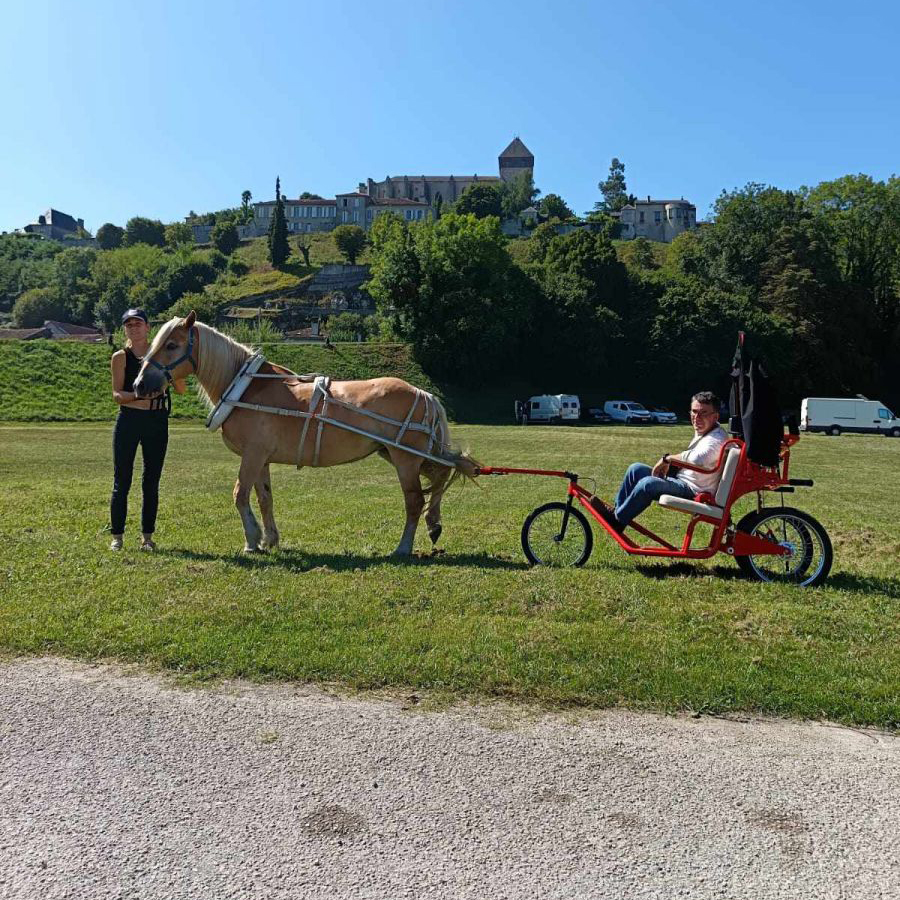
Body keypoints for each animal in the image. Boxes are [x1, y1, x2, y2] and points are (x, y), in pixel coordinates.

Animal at [133, 314, 478, 556]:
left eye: (172, 345)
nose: (139, 384)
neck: (248, 386)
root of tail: (424, 394)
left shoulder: (252, 455)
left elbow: (239, 494)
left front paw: (251, 541)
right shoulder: (261, 458)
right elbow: (264, 498)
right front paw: (269, 539)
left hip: (405, 459)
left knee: (415, 500)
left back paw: (404, 547)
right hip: (397, 454)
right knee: (440, 475)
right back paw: (434, 525)